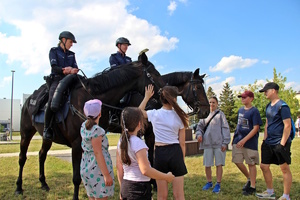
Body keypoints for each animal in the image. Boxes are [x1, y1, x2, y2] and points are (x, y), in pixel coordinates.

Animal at [14, 56, 164, 200]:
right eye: (154, 74)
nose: (164, 95)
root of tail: (28, 101)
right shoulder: (77, 144)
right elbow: (76, 177)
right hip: (25, 134)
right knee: (22, 158)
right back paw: (19, 187)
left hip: (47, 138)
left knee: (42, 154)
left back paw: (43, 183)